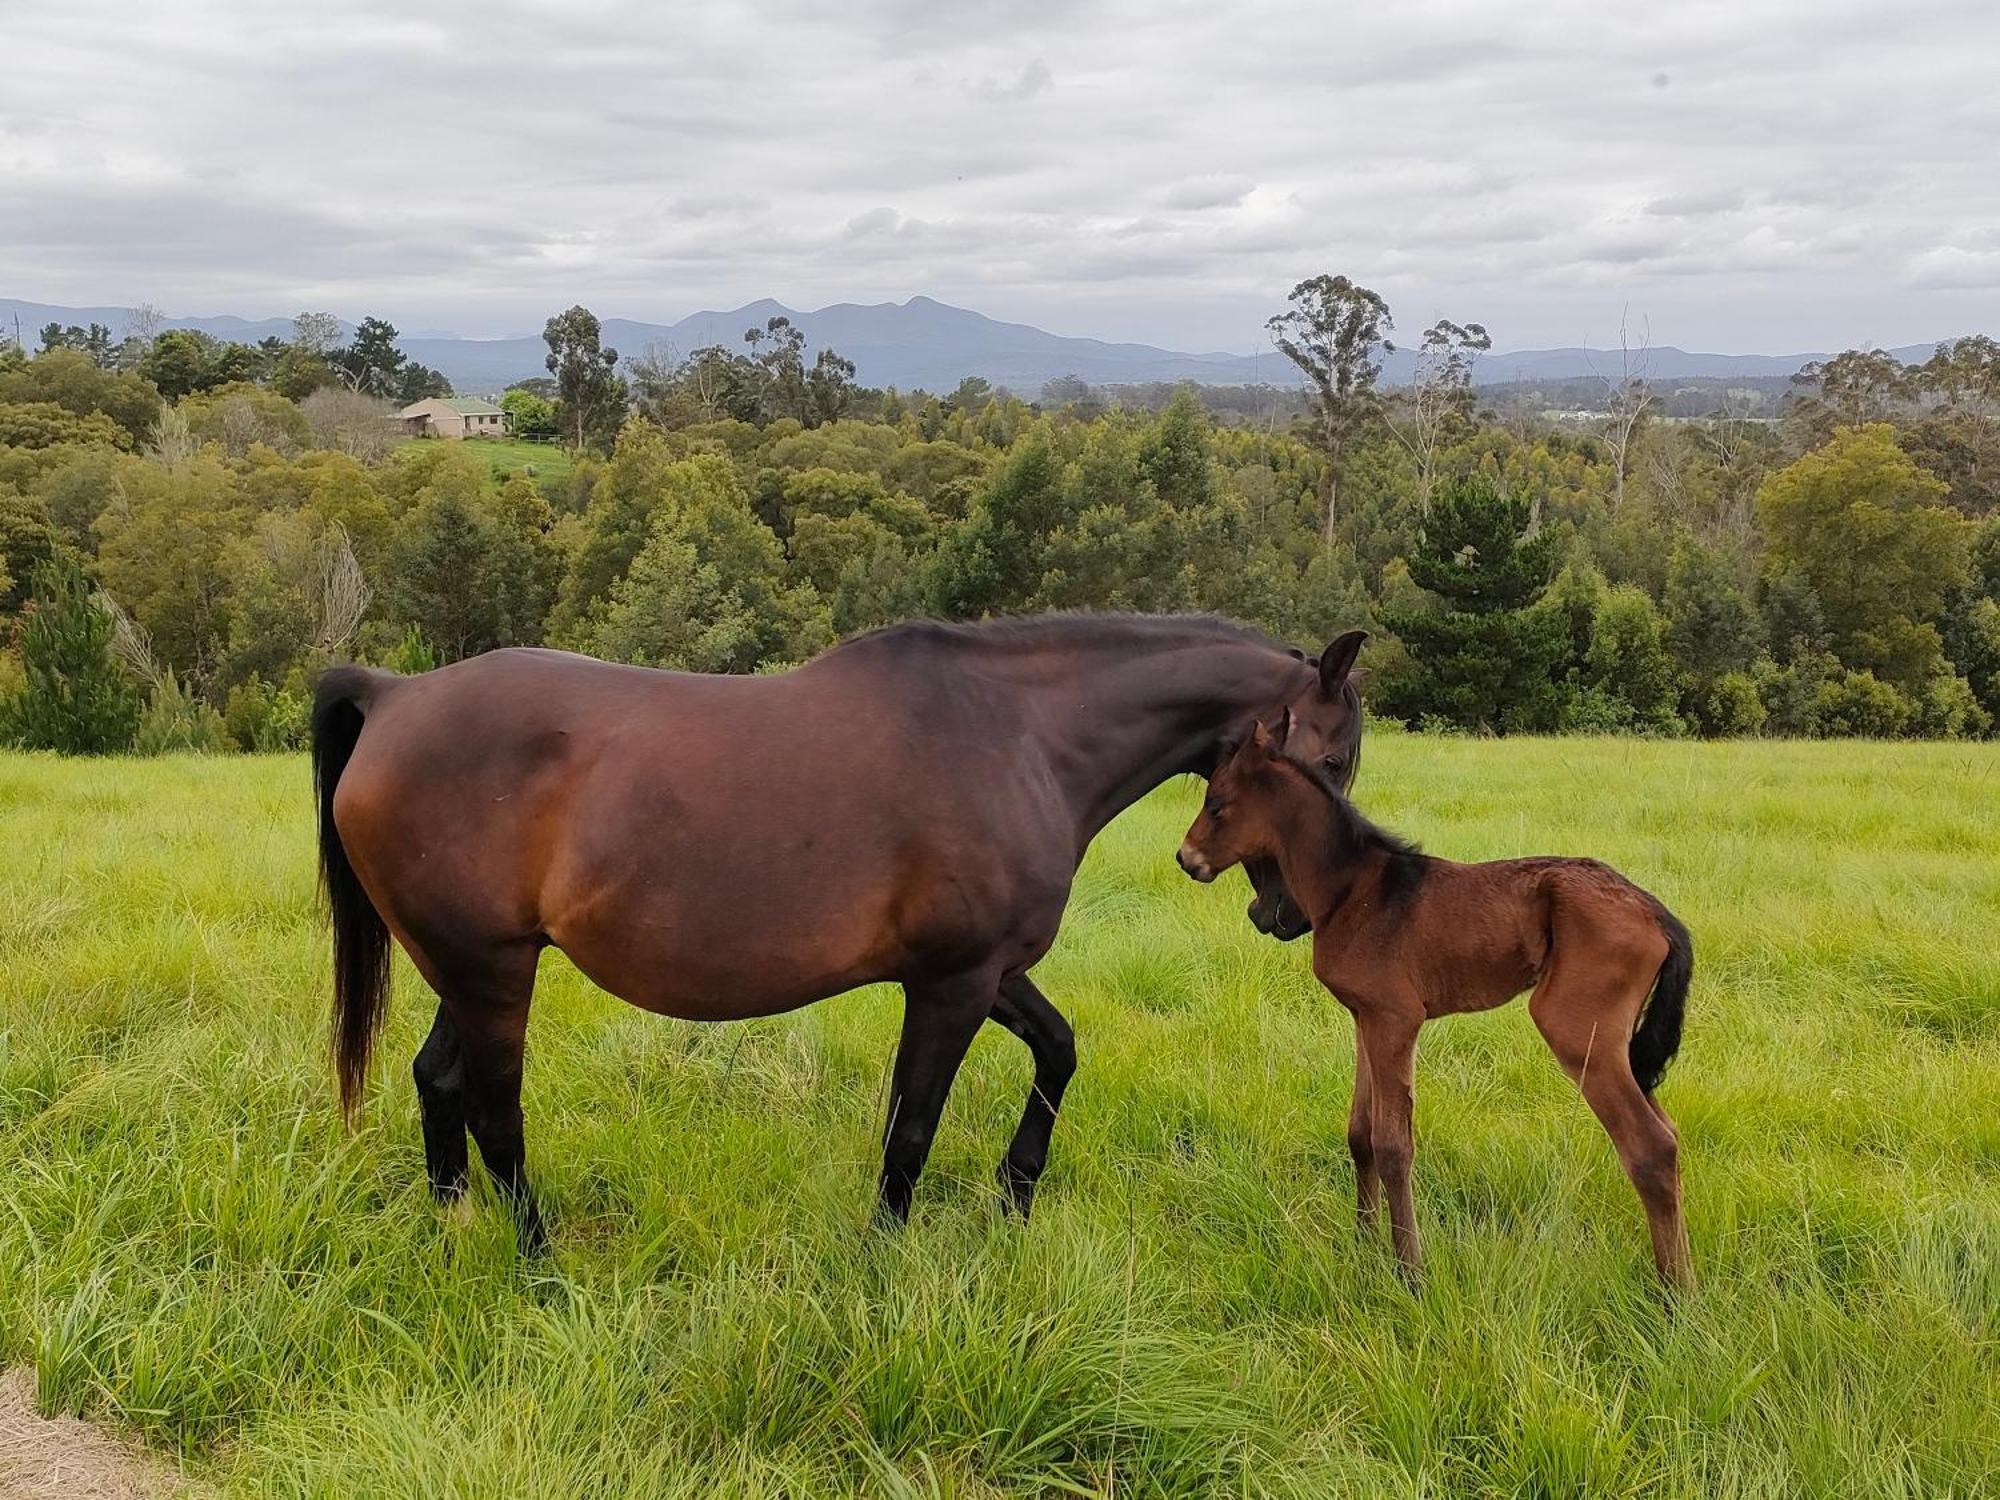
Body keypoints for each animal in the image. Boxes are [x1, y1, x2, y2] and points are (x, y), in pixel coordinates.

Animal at [1176, 724, 1696, 1288]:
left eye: (1216, 804)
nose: (1186, 858)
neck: (1353, 892)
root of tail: (1655, 912)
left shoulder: (1397, 1020)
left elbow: (1393, 1145)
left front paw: (1410, 1271)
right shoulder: (1366, 1019)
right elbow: (1360, 1134)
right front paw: (1363, 1245)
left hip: (1580, 1033)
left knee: (1650, 1146)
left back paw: (1676, 1294)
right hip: (1619, 1048)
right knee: (1668, 1133)